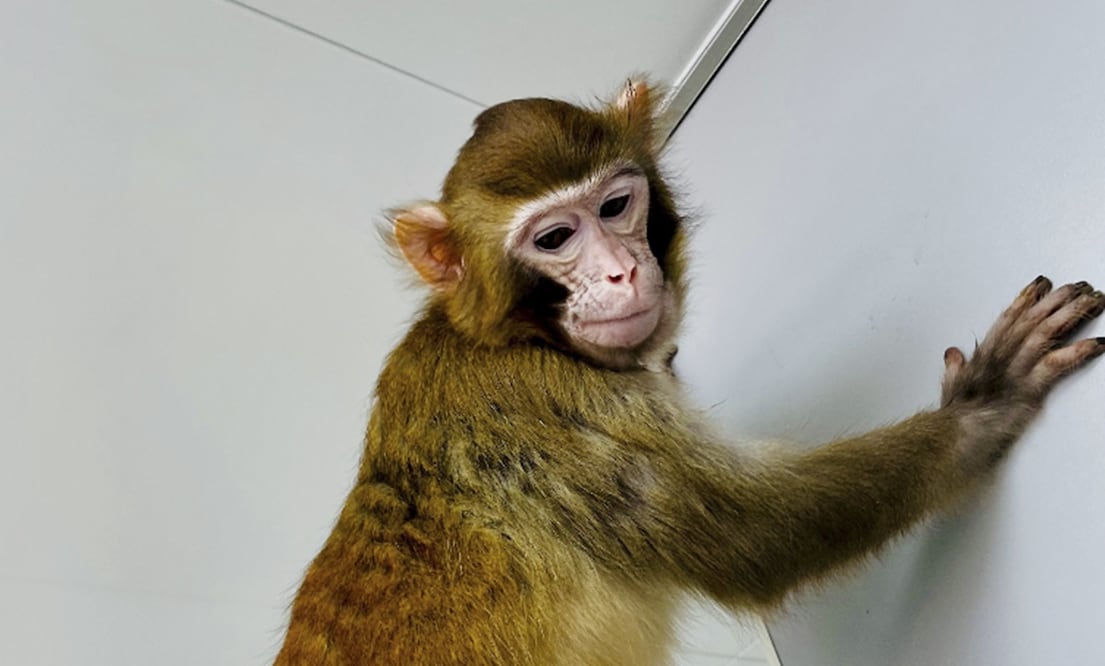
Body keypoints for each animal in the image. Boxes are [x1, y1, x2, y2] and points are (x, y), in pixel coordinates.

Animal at [273, 80, 1105, 665]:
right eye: (555, 238)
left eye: (615, 205)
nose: (618, 271)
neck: (509, 339)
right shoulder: (545, 408)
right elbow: (759, 536)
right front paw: (982, 403)